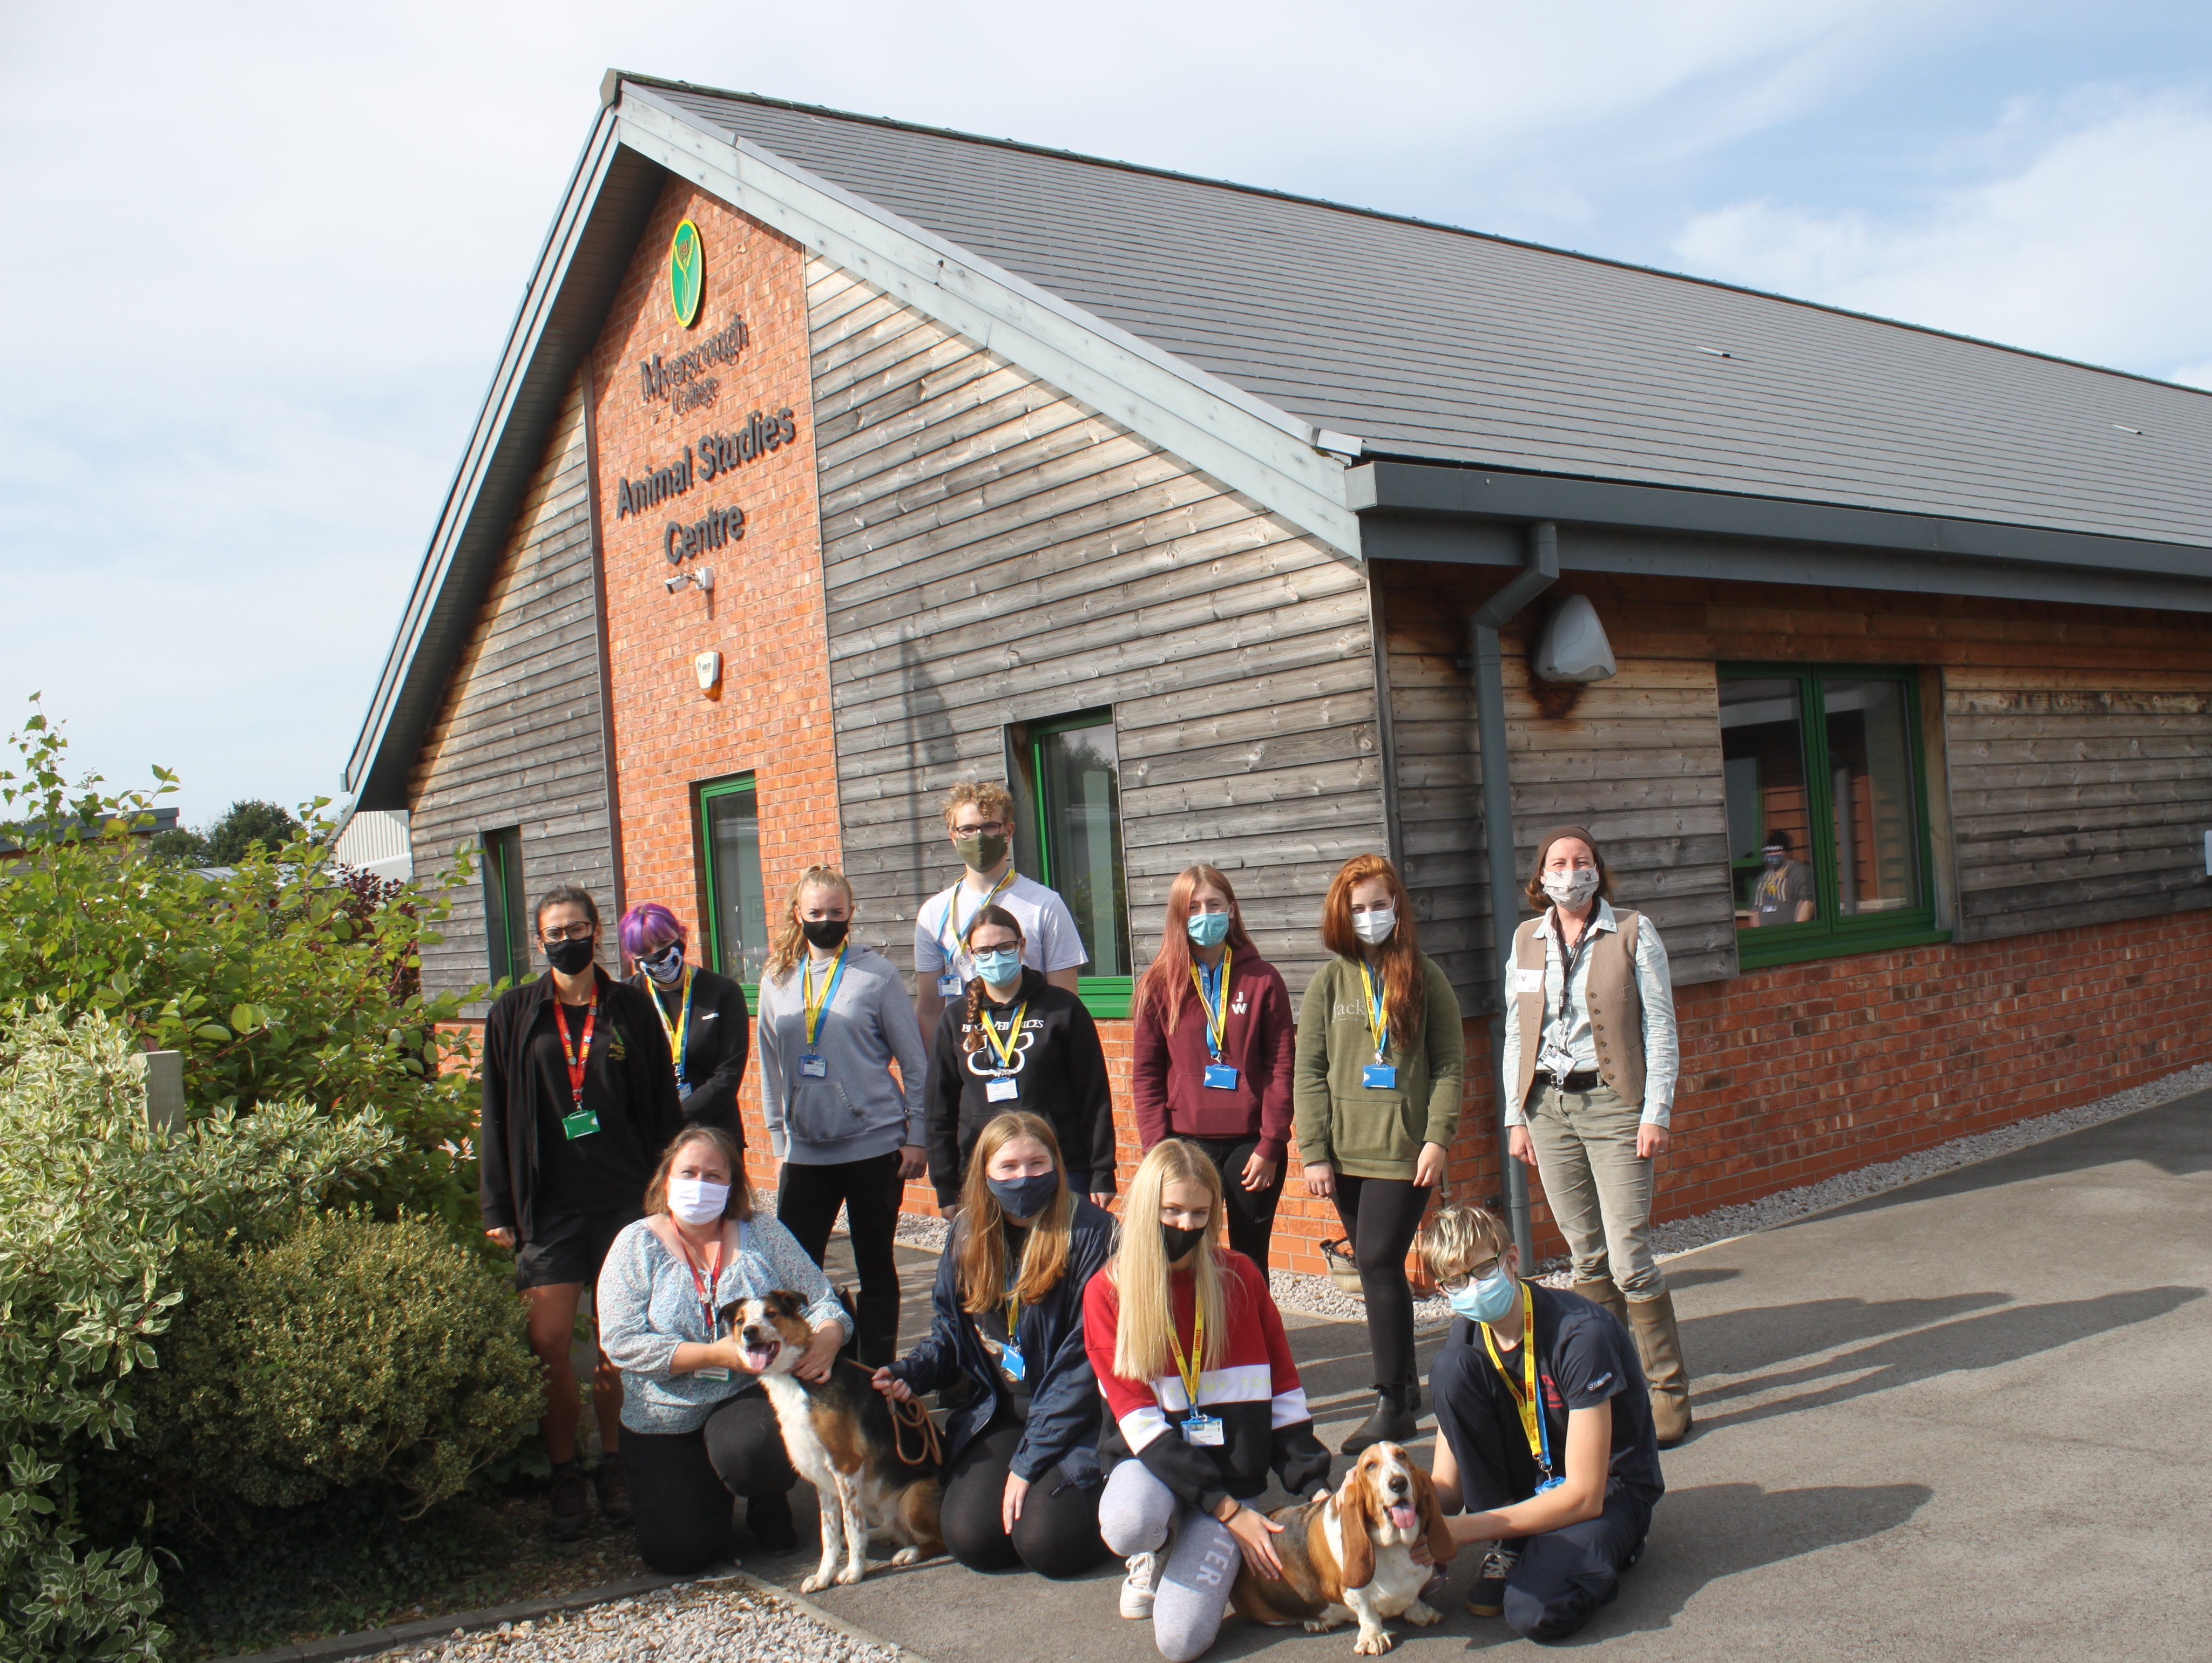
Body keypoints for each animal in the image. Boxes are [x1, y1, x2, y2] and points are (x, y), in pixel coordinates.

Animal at [721, 1291, 938, 1592]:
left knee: (936, 1541)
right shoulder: (823, 1477)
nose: (749, 1332)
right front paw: (824, 1575)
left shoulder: (847, 1467)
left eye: (771, 1314)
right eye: (740, 1321)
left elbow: (851, 1525)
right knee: (887, 1527)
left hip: (912, 1498)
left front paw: (855, 1572)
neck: (795, 1376)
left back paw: (911, 1552)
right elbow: (830, 1533)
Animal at [1229, 1433, 1451, 1654]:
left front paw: (1420, 1612)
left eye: (1401, 1455)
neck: (1394, 1545)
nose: (1398, 1483)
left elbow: (1413, 1598)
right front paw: (1373, 1638)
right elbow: (1368, 1613)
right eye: (1370, 1466)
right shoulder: (1354, 1594)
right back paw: (1316, 1622)